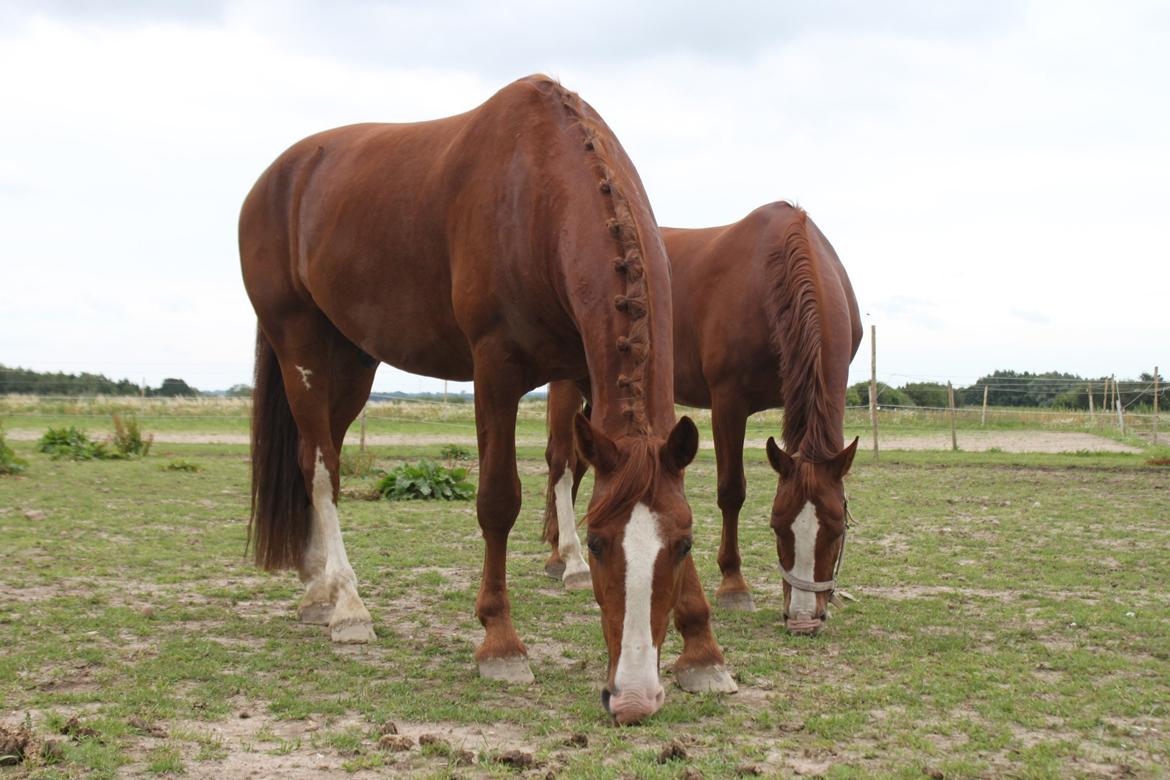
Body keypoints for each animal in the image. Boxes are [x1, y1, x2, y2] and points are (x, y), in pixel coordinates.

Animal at [236, 76, 730, 725]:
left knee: (318, 460)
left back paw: (317, 590)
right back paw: (347, 605)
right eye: (598, 544)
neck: (539, 193)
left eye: (683, 544)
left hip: (352, 362)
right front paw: (501, 644)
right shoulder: (494, 371)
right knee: (320, 470)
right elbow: (498, 501)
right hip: (301, 347)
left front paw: (703, 652)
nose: (633, 699)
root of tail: (274, 177)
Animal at [542, 201, 865, 636]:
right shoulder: (728, 401)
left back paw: (557, 554)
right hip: (567, 382)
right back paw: (571, 562)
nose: (802, 620)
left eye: (837, 528)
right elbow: (731, 491)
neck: (770, 273)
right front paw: (733, 585)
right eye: (777, 526)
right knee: (560, 463)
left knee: (578, 462)